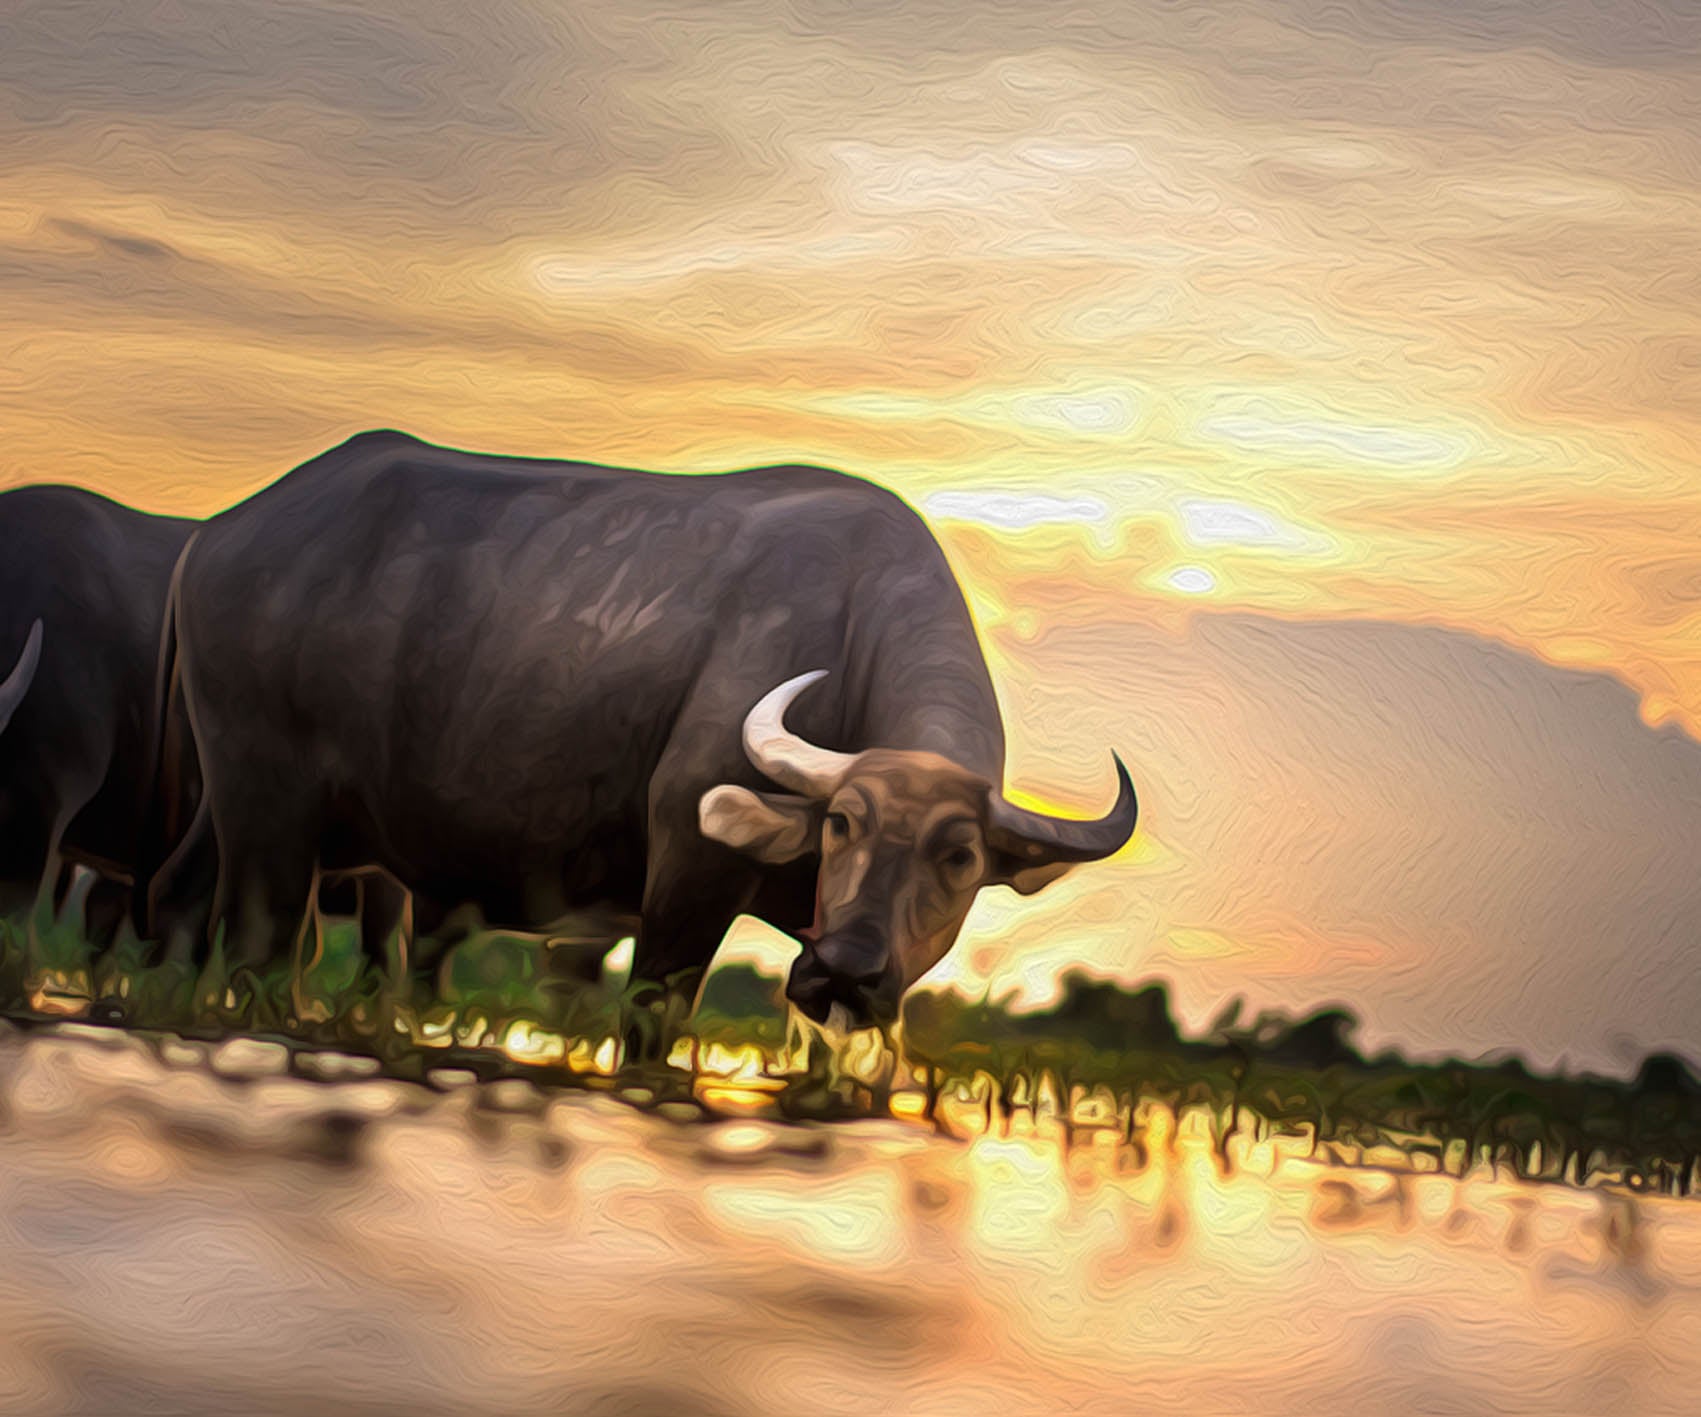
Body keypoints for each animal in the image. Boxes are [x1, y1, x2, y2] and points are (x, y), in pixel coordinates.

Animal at [140, 431, 1136, 1045]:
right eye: (841, 822)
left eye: (960, 857)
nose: (843, 970)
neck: (849, 638)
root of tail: (217, 535)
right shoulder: (687, 874)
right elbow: (650, 1026)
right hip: (272, 814)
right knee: (266, 945)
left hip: (234, 801)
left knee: (176, 894)